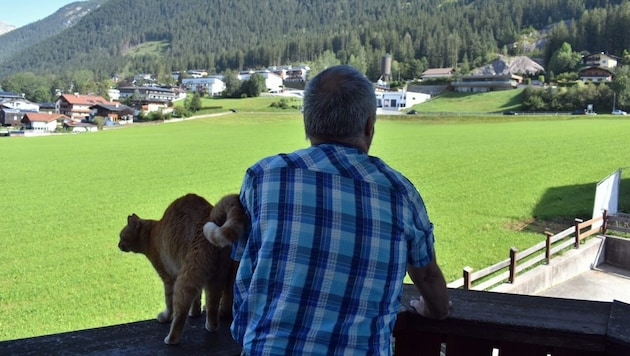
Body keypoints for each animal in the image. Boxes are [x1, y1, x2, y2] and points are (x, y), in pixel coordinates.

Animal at [118, 193, 244, 344]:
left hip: (185, 280)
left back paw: (171, 339)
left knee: (179, 314)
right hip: (216, 278)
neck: (152, 233)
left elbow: (169, 303)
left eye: (121, 236)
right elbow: (197, 298)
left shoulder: (168, 278)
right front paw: (194, 313)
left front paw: (165, 317)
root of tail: (210, 216)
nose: (118, 245)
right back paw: (210, 325)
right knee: (213, 309)